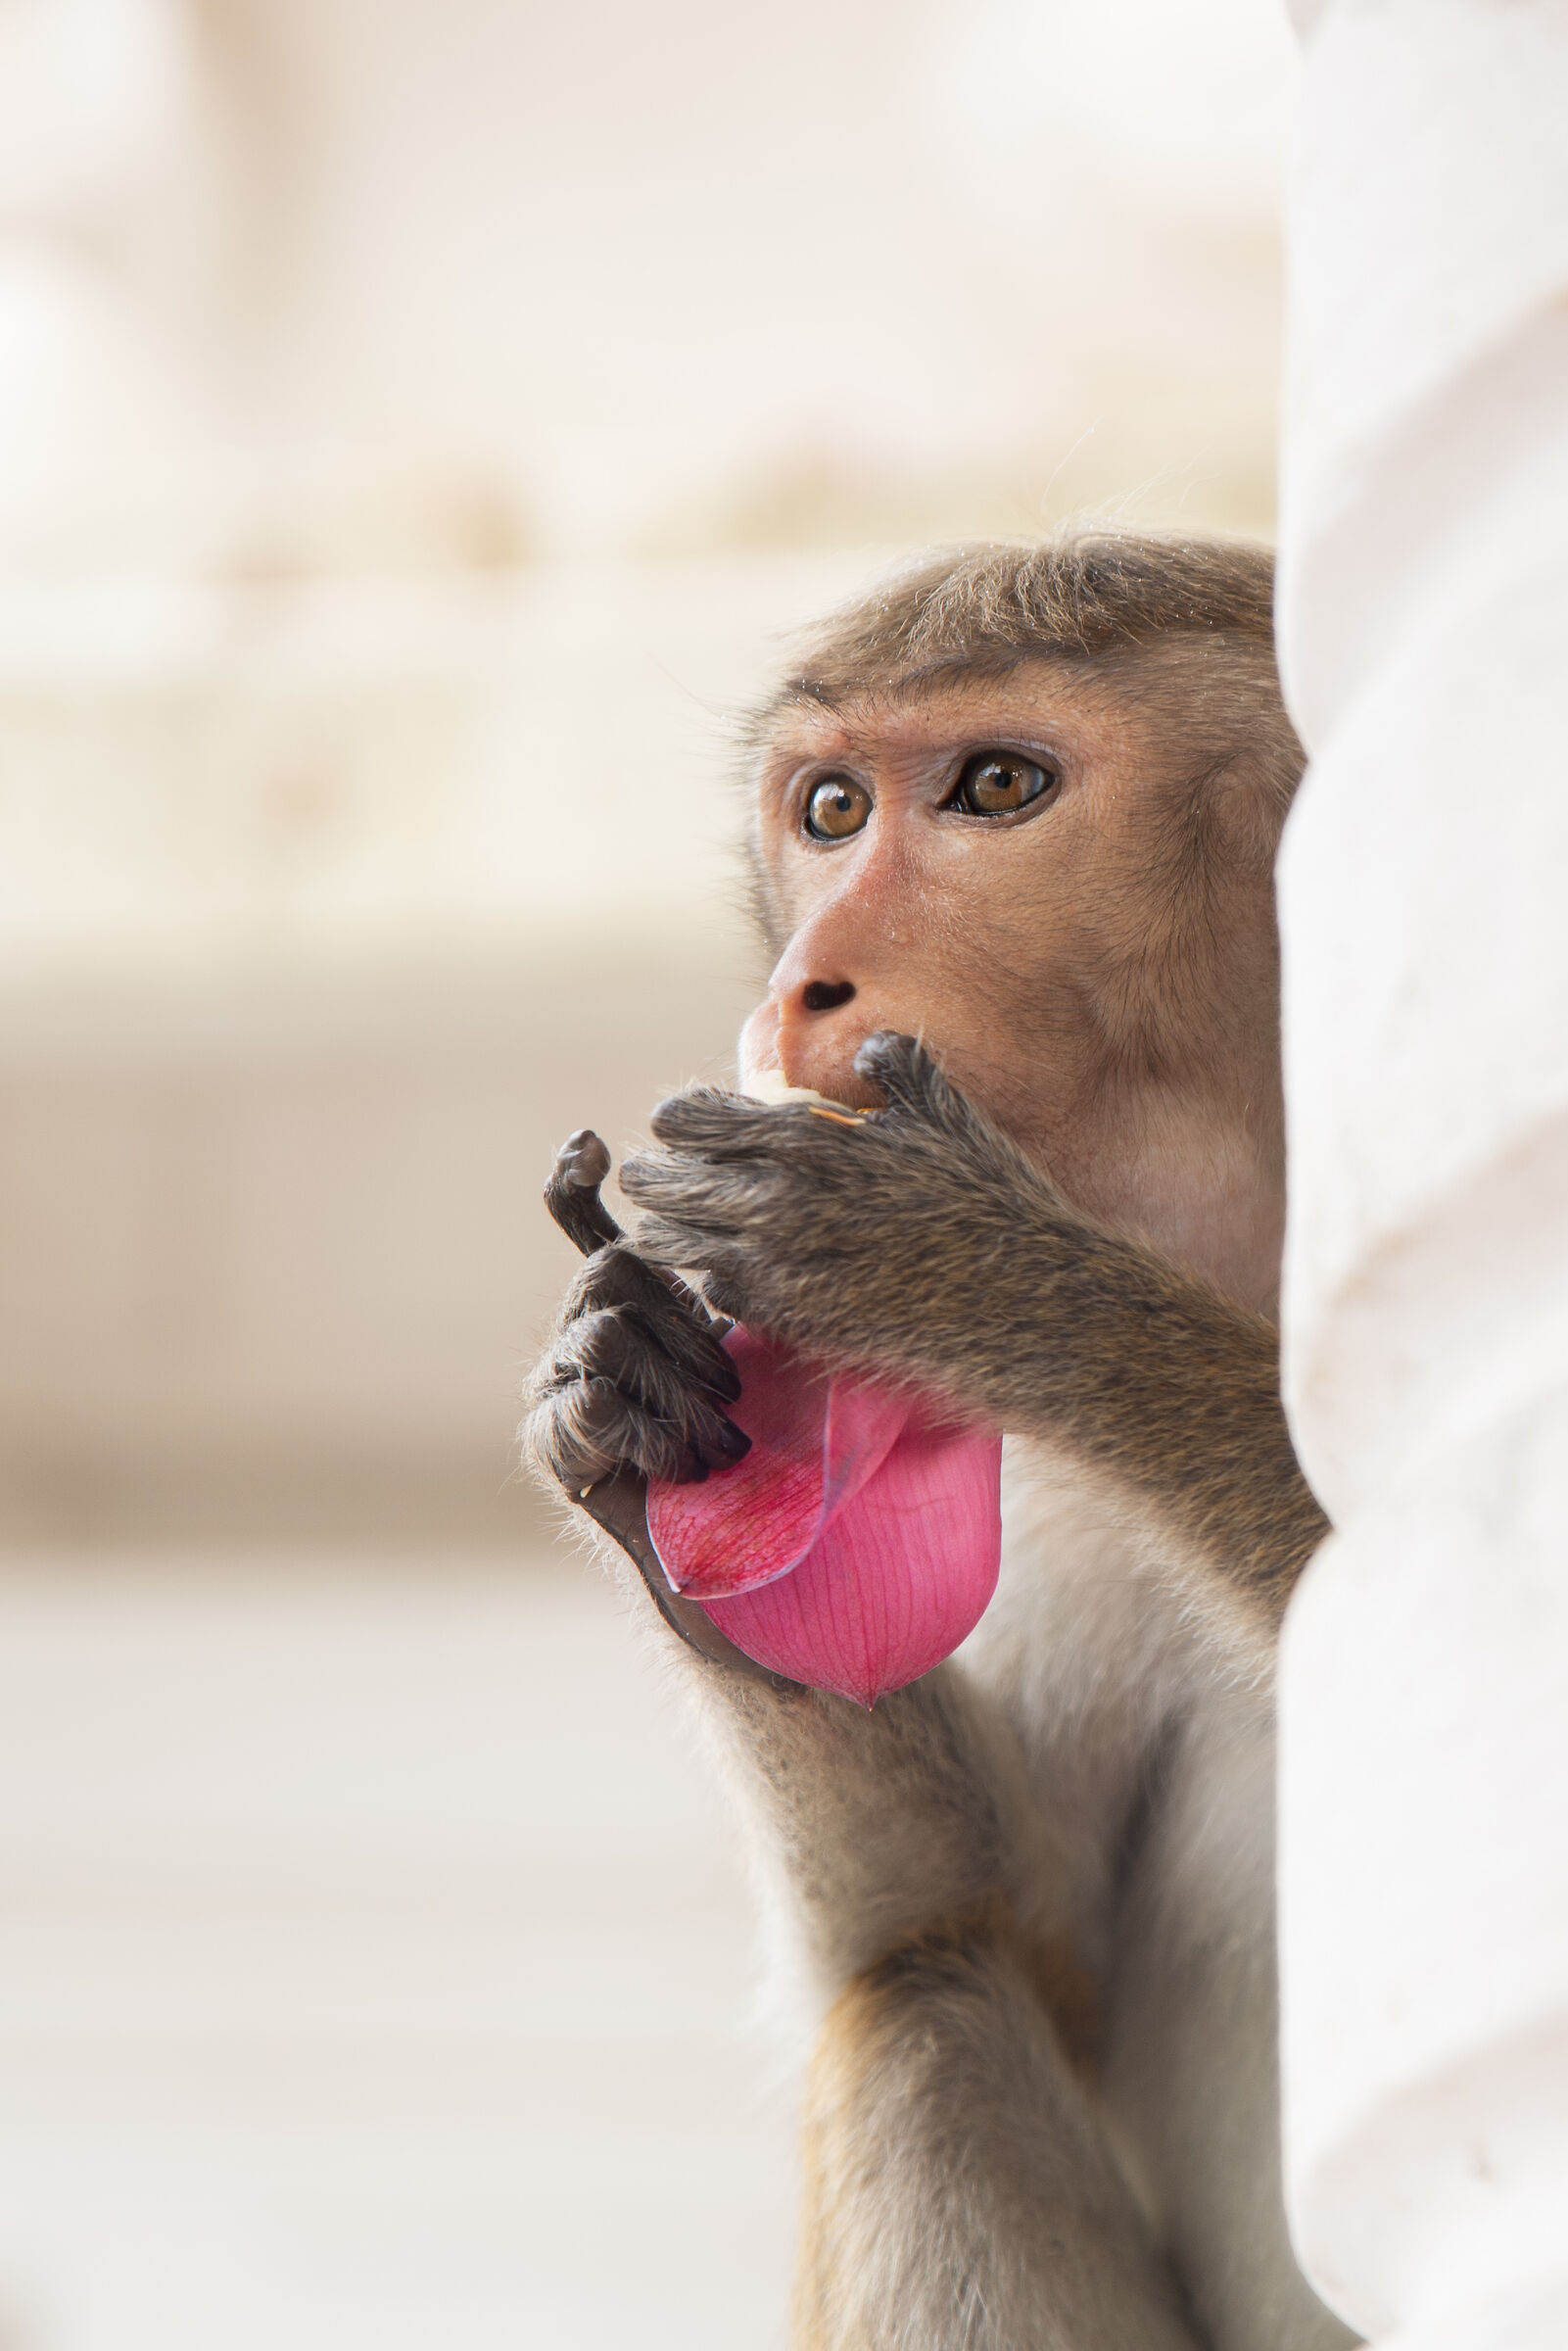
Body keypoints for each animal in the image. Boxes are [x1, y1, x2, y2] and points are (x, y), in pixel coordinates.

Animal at [522, 534, 1358, 2351]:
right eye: (830, 810)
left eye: (995, 789)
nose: (799, 985)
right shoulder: (1051, 1513)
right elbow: (985, 1931)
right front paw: (630, 1401)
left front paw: (969, 1270)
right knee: (931, 2015)